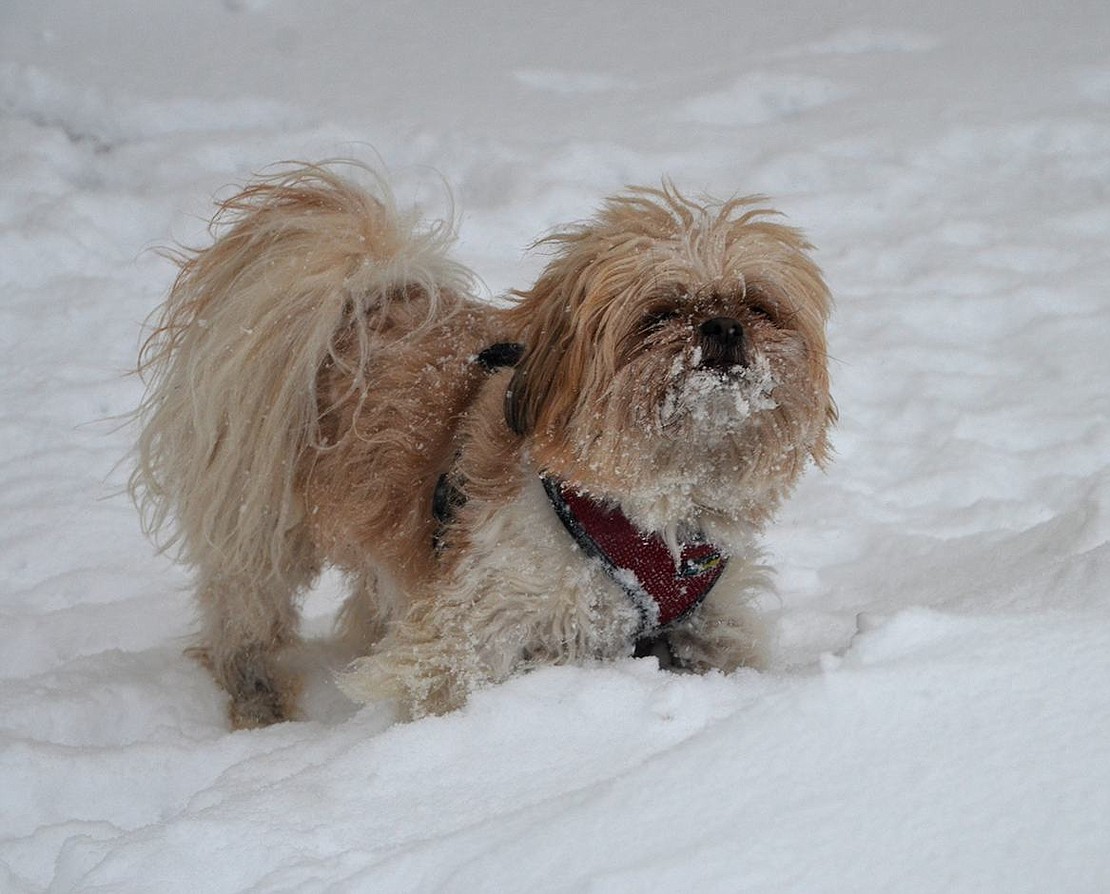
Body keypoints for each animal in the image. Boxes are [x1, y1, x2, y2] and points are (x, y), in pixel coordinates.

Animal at [132, 165, 834, 724]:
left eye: (757, 305)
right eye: (659, 315)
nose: (723, 326)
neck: (651, 508)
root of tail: (368, 300)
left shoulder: (708, 620)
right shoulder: (475, 628)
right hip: (262, 518)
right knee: (244, 614)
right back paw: (256, 698)